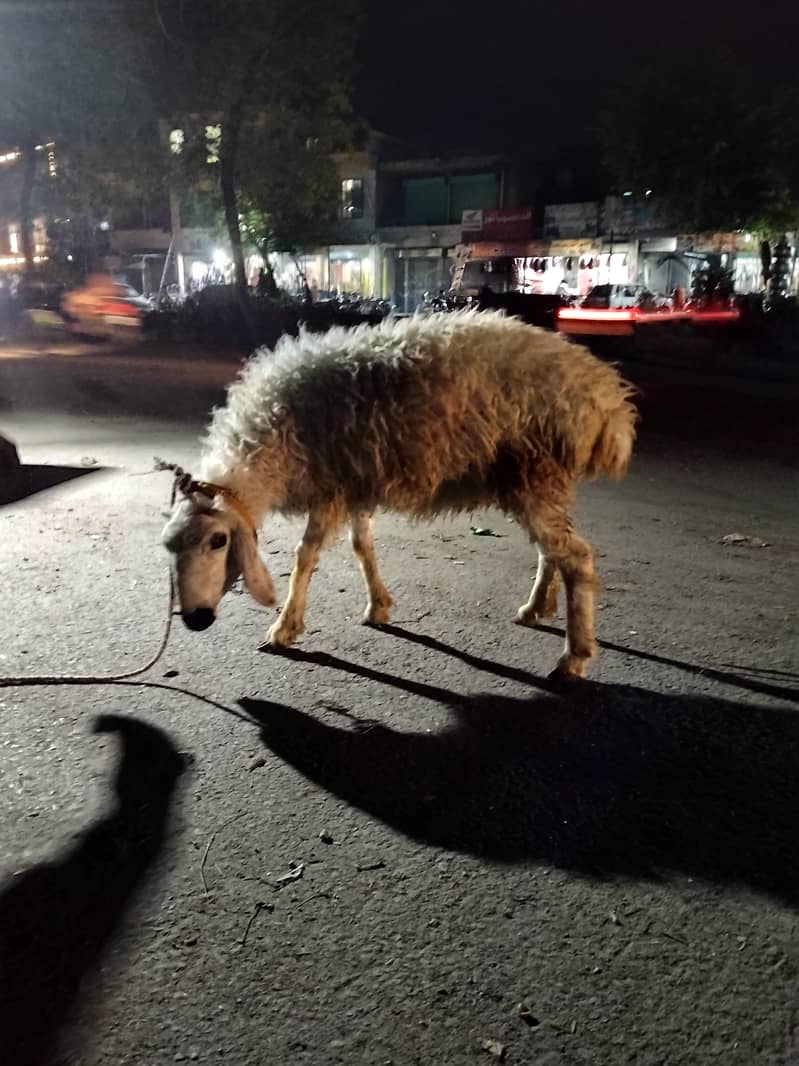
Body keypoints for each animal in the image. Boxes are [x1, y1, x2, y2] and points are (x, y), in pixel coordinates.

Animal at [161, 309, 637, 679]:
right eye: (169, 548)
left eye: (218, 541)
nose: (196, 620)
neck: (271, 436)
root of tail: (606, 398)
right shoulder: (354, 483)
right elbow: (362, 547)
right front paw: (379, 605)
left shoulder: (331, 485)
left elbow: (305, 555)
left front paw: (285, 627)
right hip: (535, 478)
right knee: (552, 549)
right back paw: (537, 608)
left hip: (535, 471)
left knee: (576, 557)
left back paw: (574, 657)